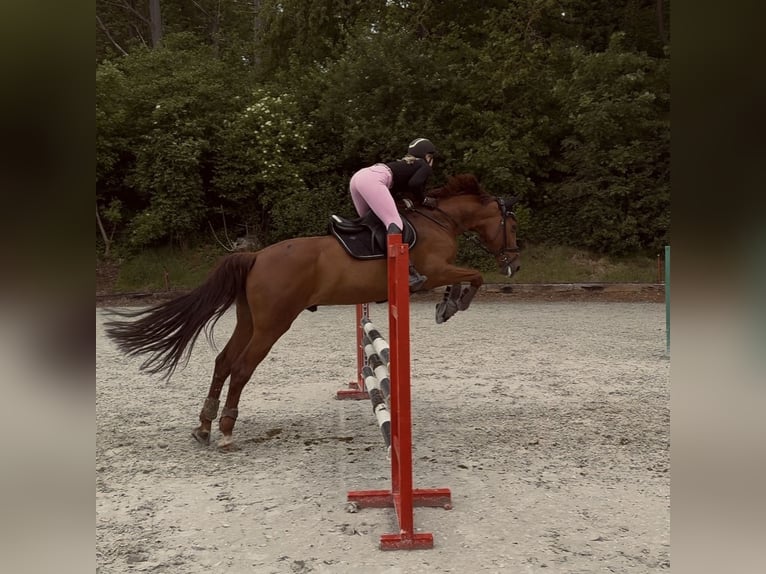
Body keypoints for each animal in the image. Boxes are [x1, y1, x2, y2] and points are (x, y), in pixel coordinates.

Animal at [105, 173, 520, 449]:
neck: (440, 220)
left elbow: (469, 277)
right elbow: (474, 276)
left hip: (249, 320)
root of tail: (256, 256)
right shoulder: (434, 270)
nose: (515, 264)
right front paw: (452, 305)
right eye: (512, 224)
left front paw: (448, 303)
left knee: (223, 361)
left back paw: (204, 427)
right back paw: (225, 431)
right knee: (241, 368)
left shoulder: (439, 271)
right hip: (273, 324)